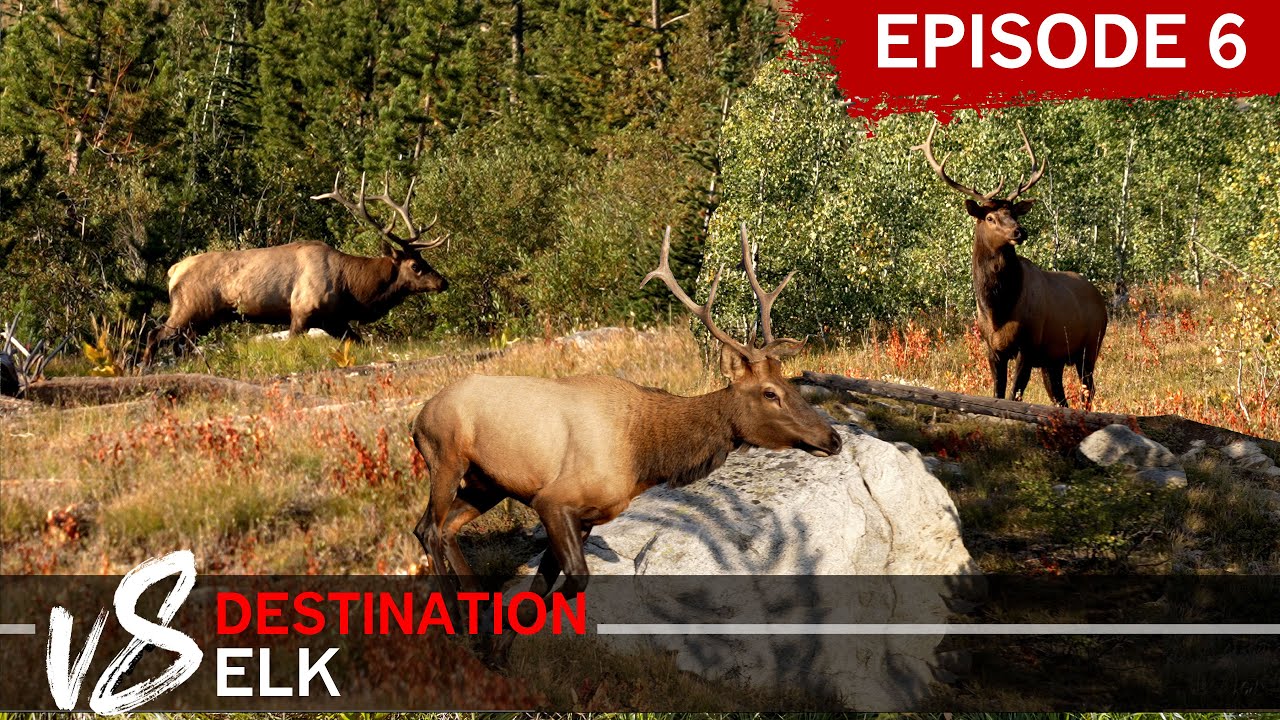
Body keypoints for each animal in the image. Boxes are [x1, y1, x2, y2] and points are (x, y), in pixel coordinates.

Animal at [143, 174, 449, 363]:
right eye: (416, 265)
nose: (443, 282)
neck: (352, 290)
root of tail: (173, 271)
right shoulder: (302, 311)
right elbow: (291, 345)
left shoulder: (334, 320)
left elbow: (358, 341)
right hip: (189, 308)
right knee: (155, 335)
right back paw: (143, 368)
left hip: (204, 318)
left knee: (181, 346)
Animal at [410, 224, 843, 666]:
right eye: (771, 393)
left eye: (791, 383)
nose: (833, 438)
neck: (645, 457)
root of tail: (419, 415)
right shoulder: (553, 500)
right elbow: (576, 581)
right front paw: (492, 648)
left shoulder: (584, 516)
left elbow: (538, 591)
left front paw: (497, 652)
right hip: (445, 457)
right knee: (427, 527)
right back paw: (455, 623)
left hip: (487, 483)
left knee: (446, 528)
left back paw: (475, 615)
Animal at [914, 121, 1108, 407]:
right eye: (990, 218)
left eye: (1014, 212)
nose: (1020, 231)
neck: (998, 309)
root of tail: (1099, 297)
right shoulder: (993, 348)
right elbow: (998, 393)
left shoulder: (1028, 344)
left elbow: (1015, 394)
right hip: (1054, 360)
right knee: (1060, 397)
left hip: (1090, 347)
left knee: (1088, 392)